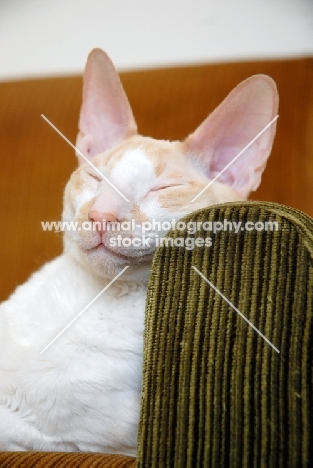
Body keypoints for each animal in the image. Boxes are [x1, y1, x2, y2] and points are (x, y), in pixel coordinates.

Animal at [0, 49, 278, 456]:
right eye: (96, 178)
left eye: (162, 189)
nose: (101, 215)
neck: (90, 299)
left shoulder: (75, 438)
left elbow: (20, 427)